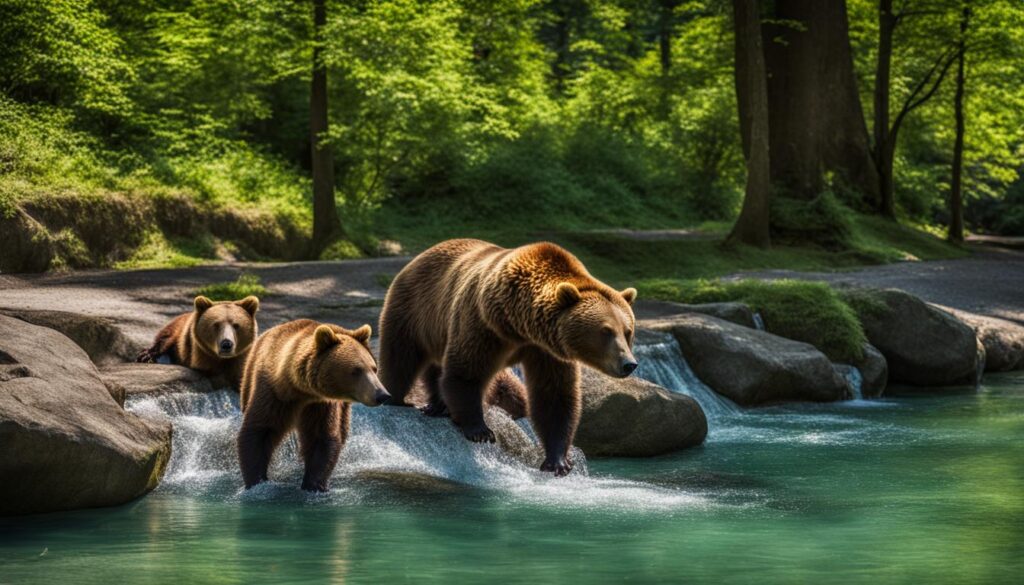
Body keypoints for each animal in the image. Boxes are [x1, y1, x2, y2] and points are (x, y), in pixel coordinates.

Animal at [237, 319, 391, 491]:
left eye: (374, 368)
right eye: (356, 370)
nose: (382, 395)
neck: (299, 389)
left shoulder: (321, 404)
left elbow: (321, 437)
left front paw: (313, 484)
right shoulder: (273, 392)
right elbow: (259, 430)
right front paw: (256, 481)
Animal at [377, 239, 638, 476]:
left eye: (627, 331)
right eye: (606, 331)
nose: (629, 364)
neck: (519, 323)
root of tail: (419, 257)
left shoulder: (548, 348)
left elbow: (554, 394)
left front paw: (558, 461)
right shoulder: (482, 322)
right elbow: (466, 371)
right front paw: (480, 430)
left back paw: (438, 406)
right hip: (415, 308)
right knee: (400, 356)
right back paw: (396, 397)